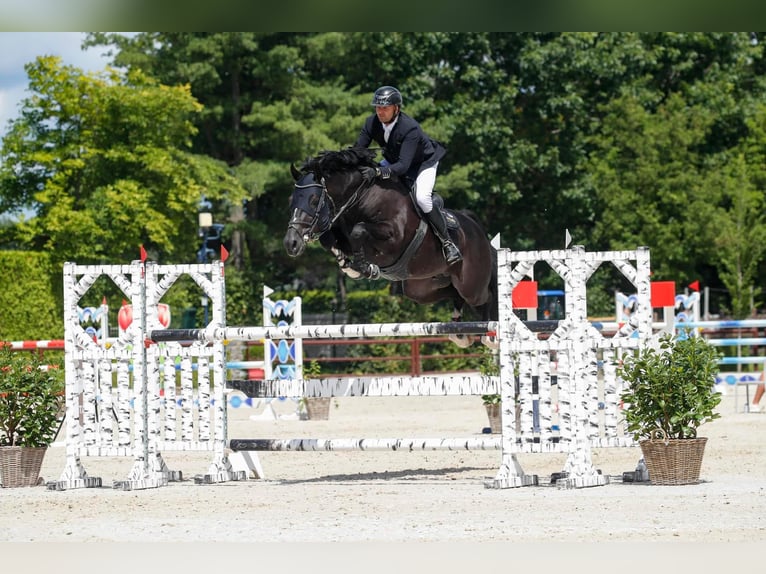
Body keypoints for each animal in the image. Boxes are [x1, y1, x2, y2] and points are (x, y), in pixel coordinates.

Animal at [282, 146, 498, 348]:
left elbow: (359, 230)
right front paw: (347, 264)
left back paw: (489, 336)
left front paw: (364, 268)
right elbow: (329, 239)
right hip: (421, 287)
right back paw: (460, 334)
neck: (363, 198)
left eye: (313, 200)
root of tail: (474, 226)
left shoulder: (392, 239)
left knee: (485, 297)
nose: (291, 244)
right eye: (291, 200)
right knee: (454, 294)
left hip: (471, 284)